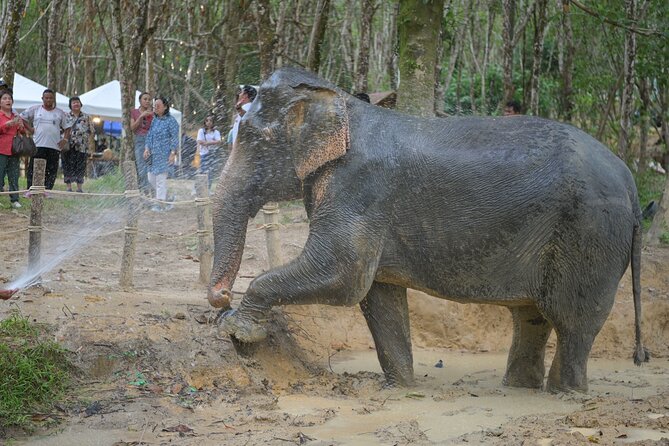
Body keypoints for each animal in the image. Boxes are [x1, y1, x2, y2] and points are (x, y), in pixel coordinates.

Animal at [209, 67, 648, 394]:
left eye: (253, 140)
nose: (220, 297)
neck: (339, 100)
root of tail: (630, 180)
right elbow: (378, 295)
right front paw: (400, 389)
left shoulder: (359, 188)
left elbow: (343, 276)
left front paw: (238, 328)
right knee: (531, 317)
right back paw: (519, 388)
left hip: (590, 232)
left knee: (574, 322)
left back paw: (564, 392)